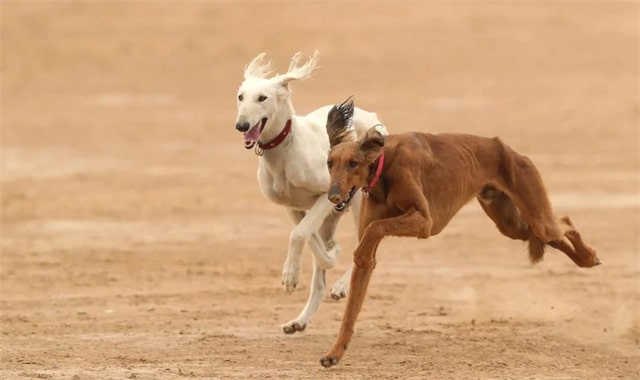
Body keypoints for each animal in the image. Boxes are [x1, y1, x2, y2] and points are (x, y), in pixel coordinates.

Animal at [234, 51, 384, 332]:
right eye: (240, 96)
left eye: (262, 97)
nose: (242, 125)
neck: (285, 150)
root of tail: (371, 117)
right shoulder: (293, 206)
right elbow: (309, 238)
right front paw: (328, 253)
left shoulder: (326, 194)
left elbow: (299, 234)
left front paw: (290, 276)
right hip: (333, 216)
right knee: (321, 280)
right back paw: (300, 320)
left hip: (361, 202)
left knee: (367, 250)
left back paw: (341, 286)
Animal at [320, 98, 600, 368]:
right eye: (330, 163)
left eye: (353, 163)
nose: (333, 196)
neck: (383, 164)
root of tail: (505, 147)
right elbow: (351, 310)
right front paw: (334, 354)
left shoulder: (424, 221)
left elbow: (374, 230)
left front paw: (361, 252)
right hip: (511, 223)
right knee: (552, 232)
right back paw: (586, 258)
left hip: (535, 214)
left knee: (562, 223)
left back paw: (589, 256)